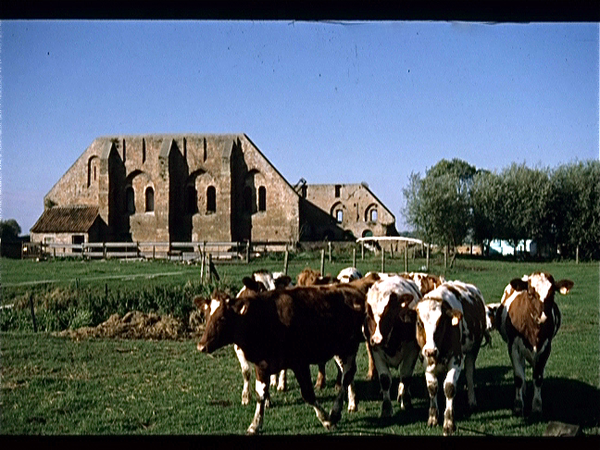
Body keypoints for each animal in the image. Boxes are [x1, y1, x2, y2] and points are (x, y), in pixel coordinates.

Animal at [195, 284, 368, 434]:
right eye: (206, 316)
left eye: (222, 318)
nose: (201, 346)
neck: (263, 320)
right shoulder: (261, 365)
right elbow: (260, 395)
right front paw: (255, 425)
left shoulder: (300, 363)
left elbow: (308, 394)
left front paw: (326, 420)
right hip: (338, 350)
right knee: (347, 373)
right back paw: (352, 402)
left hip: (350, 347)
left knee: (347, 376)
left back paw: (336, 411)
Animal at [233, 268, 292, 406]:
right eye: (260, 289)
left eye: (275, 289)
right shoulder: (238, 349)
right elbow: (246, 372)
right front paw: (246, 397)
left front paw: (267, 400)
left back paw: (281, 384)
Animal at [360, 274, 422, 418]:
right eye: (368, 313)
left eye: (389, 313)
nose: (377, 339)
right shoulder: (376, 350)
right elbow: (385, 379)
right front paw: (386, 408)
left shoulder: (412, 349)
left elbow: (406, 376)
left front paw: (406, 401)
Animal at [410, 280, 490, 434]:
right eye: (419, 323)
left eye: (441, 323)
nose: (430, 350)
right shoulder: (426, 361)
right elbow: (432, 387)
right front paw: (433, 418)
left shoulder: (456, 359)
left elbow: (449, 387)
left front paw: (448, 422)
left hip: (473, 349)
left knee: (469, 374)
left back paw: (472, 401)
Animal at [492, 272, 576, 416]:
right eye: (530, 293)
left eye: (552, 294)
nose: (542, 317)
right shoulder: (513, 347)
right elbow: (518, 377)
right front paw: (518, 404)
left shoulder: (546, 348)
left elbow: (538, 377)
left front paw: (537, 405)